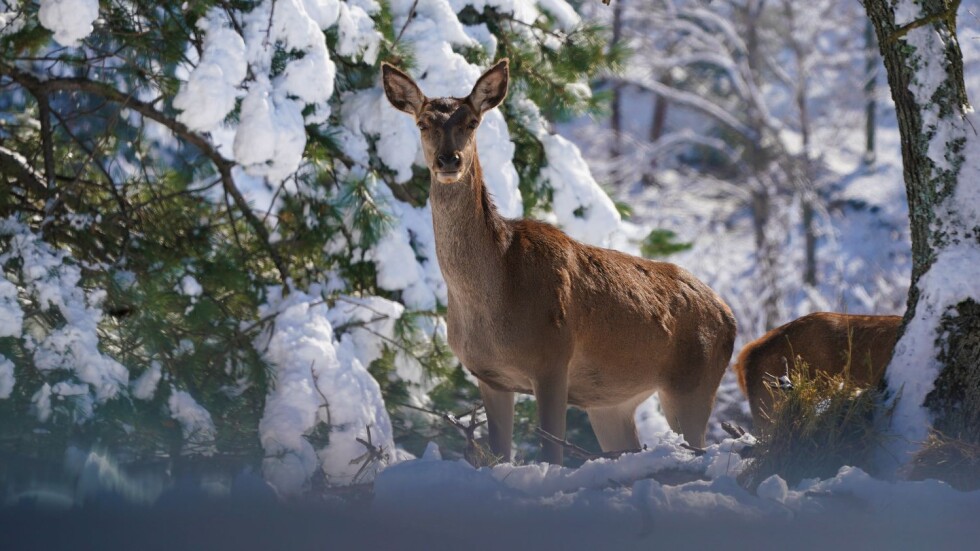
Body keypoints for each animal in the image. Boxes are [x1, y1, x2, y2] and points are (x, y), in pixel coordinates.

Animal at [382, 59, 736, 466]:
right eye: (423, 123)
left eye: (471, 122)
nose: (448, 159)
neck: (496, 294)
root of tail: (729, 315)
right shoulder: (490, 376)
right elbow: (500, 454)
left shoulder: (552, 358)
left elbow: (552, 453)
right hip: (612, 404)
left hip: (694, 382)